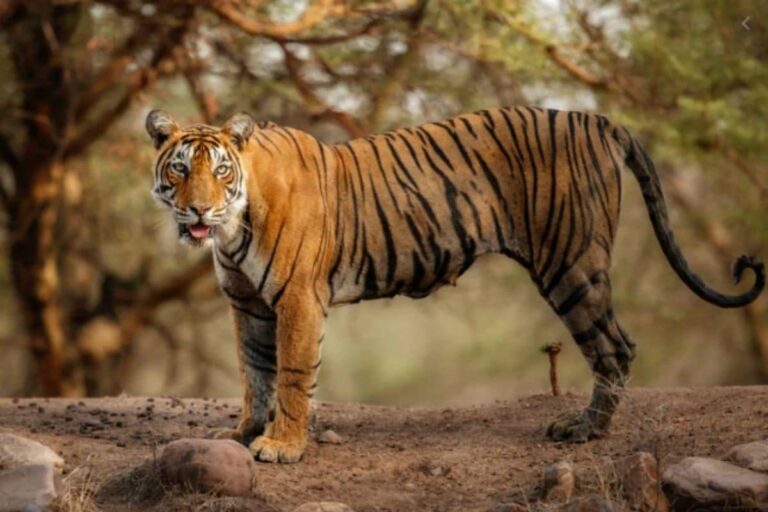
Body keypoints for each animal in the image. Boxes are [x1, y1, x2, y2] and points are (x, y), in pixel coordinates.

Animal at [145, 107, 765, 463]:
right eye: (180, 168)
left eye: (219, 170)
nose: (198, 209)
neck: (232, 228)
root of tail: (599, 120)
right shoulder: (247, 304)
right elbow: (255, 373)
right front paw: (245, 433)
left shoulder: (297, 299)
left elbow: (292, 376)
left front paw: (282, 446)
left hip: (571, 263)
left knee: (615, 346)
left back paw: (584, 430)